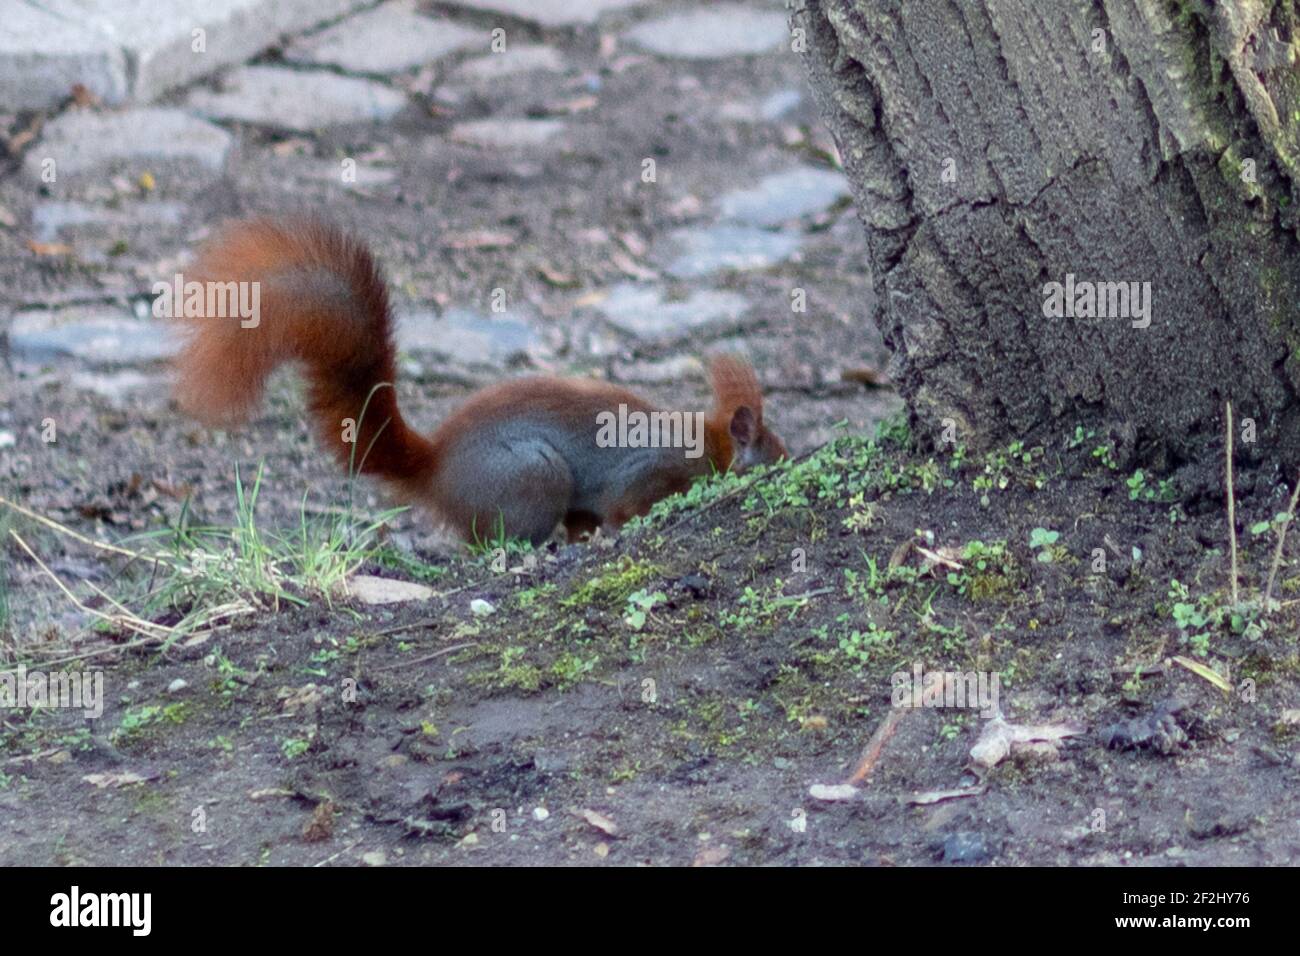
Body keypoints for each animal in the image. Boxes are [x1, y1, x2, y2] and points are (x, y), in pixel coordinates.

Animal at [171, 218, 787, 545]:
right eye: (774, 453)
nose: (790, 462)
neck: (709, 443)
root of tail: (436, 467)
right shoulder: (651, 475)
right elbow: (625, 508)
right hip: (533, 476)